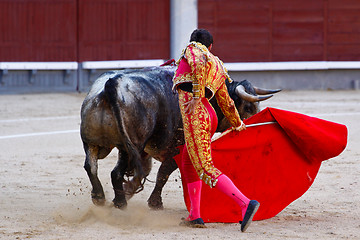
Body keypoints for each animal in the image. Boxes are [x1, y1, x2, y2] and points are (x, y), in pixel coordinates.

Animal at [80, 66, 280, 210]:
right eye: (248, 107)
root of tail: (111, 85)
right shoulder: (177, 148)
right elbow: (163, 173)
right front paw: (154, 202)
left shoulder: (145, 151)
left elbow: (147, 171)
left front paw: (130, 190)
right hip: (129, 147)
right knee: (115, 172)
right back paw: (120, 202)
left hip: (93, 142)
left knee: (91, 166)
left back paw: (100, 197)